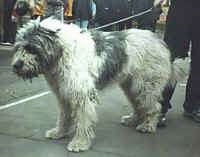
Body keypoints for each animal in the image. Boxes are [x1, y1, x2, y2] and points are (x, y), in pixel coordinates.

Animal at [10, 17, 186, 152]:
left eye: (31, 48)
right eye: (18, 47)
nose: (16, 65)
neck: (61, 52)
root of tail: (160, 42)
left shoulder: (81, 94)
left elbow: (83, 120)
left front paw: (79, 143)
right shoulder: (64, 94)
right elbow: (64, 116)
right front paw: (59, 132)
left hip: (145, 86)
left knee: (154, 107)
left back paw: (148, 126)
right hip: (131, 85)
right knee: (138, 105)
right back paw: (132, 119)